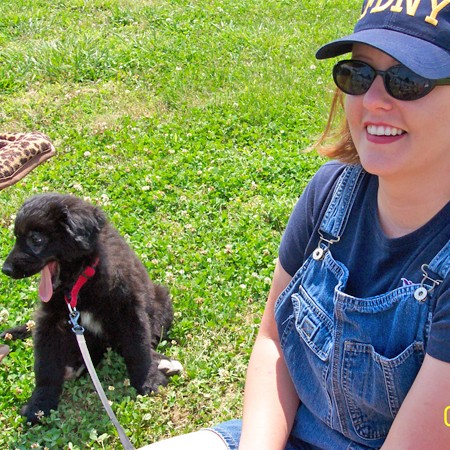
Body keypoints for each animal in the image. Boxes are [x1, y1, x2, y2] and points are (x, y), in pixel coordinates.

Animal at [1, 193, 181, 422]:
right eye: (16, 237)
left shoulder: (129, 308)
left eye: (36, 240)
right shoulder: (49, 320)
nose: (5, 269)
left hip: (161, 301)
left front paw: (148, 379)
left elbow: (138, 348)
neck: (79, 282)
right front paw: (39, 405)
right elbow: (45, 365)